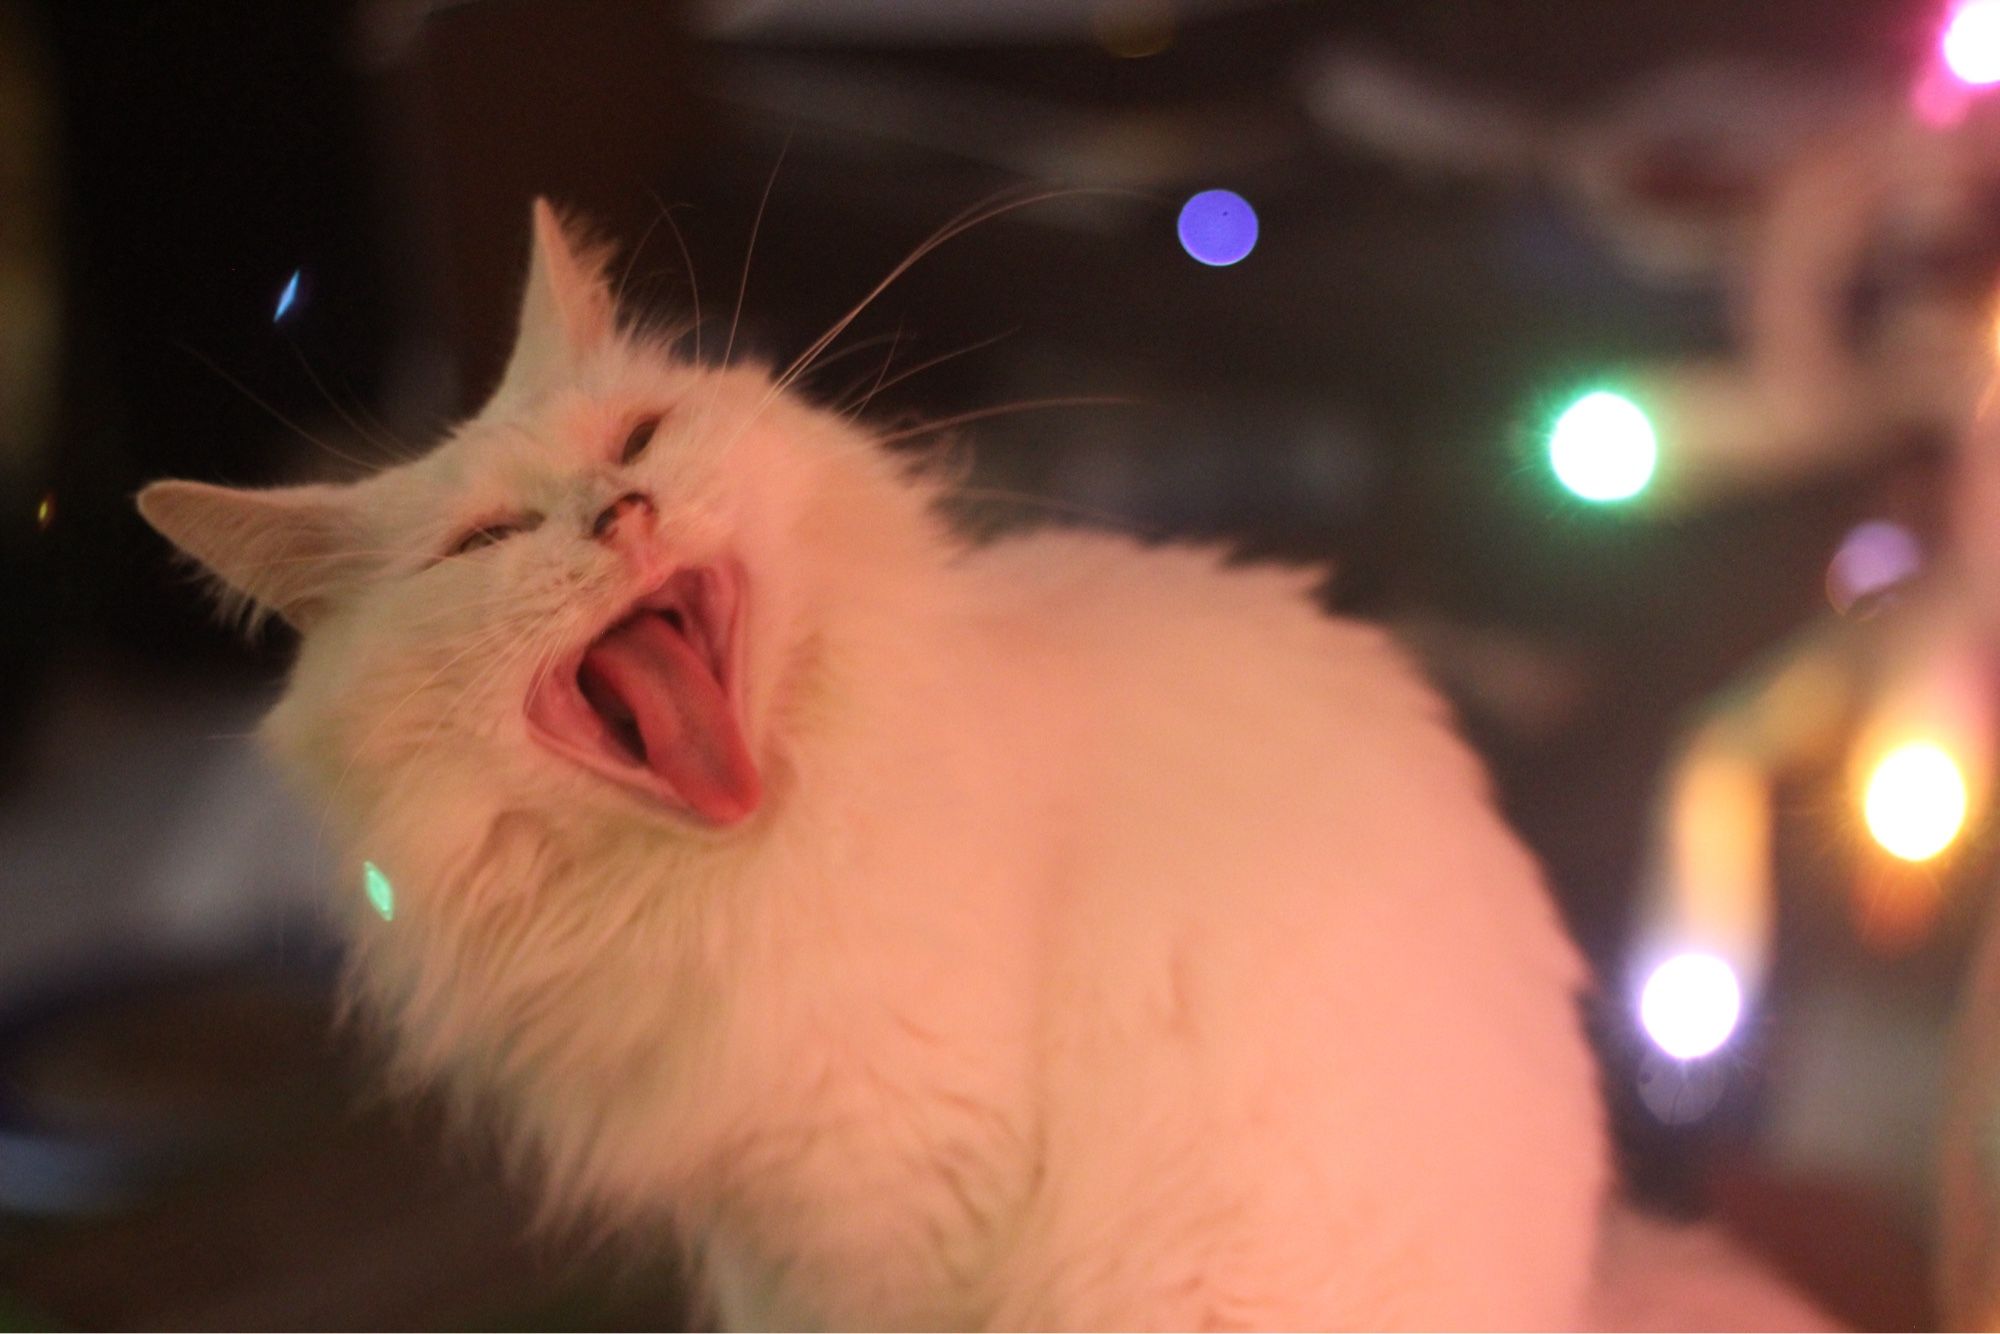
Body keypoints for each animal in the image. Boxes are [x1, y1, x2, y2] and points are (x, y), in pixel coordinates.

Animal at [141, 204, 1616, 1328]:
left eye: (638, 441)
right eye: (484, 541)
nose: (623, 513)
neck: (714, 883)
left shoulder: (904, 1197)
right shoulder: (775, 1242)